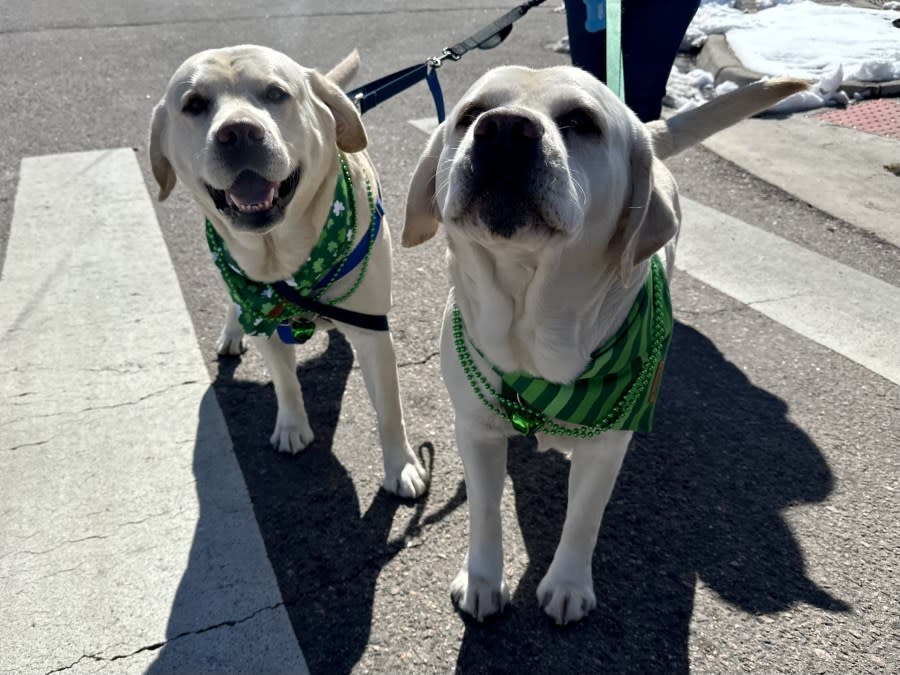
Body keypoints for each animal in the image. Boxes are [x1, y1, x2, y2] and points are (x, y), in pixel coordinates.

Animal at [149, 46, 428, 496]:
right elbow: (285, 381)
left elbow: (389, 409)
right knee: (232, 302)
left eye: (276, 93)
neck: (282, 254)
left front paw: (401, 467)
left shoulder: (372, 332)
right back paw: (231, 334)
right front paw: (293, 427)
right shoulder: (262, 314)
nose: (238, 132)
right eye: (194, 104)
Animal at [404, 64, 804, 624]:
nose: (503, 129)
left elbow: (583, 519)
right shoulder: (476, 429)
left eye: (580, 121)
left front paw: (568, 584)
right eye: (470, 113)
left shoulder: (607, 445)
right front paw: (482, 579)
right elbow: (484, 510)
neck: (534, 327)